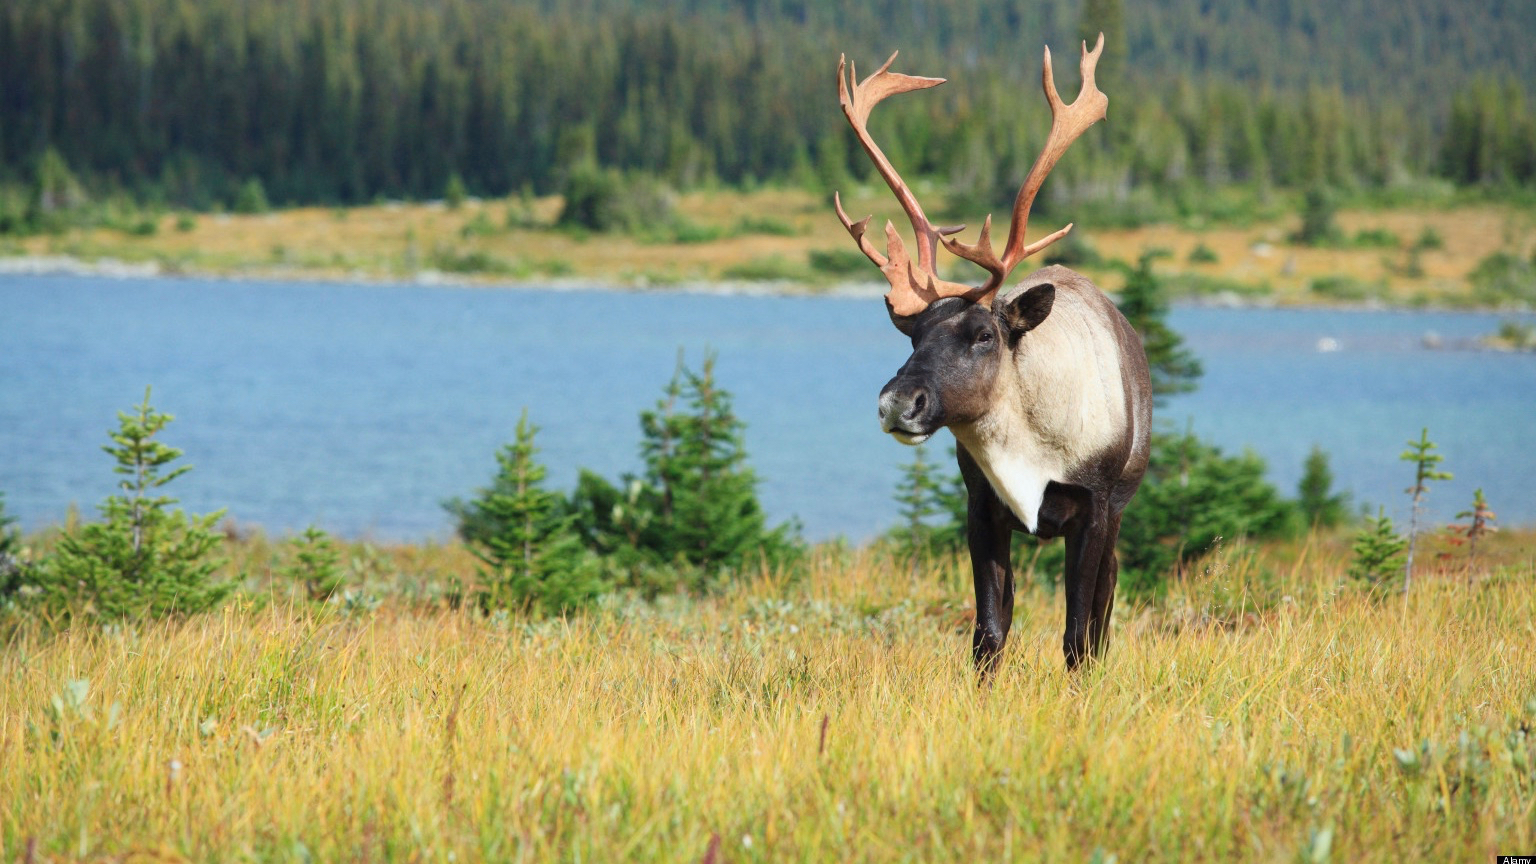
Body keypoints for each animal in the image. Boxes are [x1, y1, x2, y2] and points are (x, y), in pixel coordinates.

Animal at [841, 35, 1155, 673]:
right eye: (912, 336)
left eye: (984, 334)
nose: (896, 403)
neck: (1029, 452)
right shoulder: (981, 508)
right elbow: (988, 632)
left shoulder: (1095, 509)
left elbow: (1078, 636)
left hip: (1119, 509)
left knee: (1104, 610)